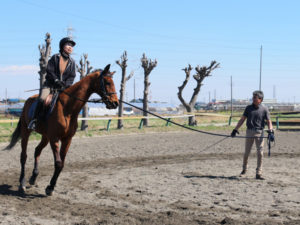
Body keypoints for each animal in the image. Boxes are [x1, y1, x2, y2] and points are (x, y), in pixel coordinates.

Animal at [4, 64, 118, 196]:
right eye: (107, 82)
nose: (115, 103)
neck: (67, 108)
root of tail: (28, 100)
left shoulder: (67, 139)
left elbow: (62, 164)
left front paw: (51, 186)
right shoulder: (54, 139)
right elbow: (58, 163)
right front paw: (49, 188)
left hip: (45, 137)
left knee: (37, 150)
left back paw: (33, 177)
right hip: (26, 132)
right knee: (23, 156)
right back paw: (22, 183)